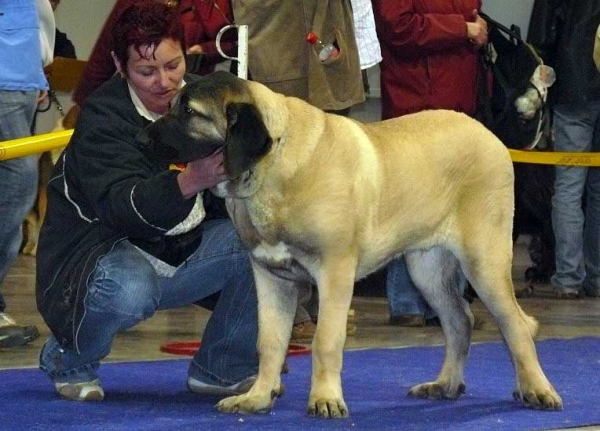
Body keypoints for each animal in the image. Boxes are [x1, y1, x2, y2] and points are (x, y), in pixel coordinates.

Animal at [142, 71, 564, 418]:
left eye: (190, 113)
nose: (141, 137)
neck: (272, 166)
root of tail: (489, 134)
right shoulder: (271, 278)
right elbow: (270, 342)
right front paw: (258, 397)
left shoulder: (334, 273)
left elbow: (326, 340)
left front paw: (325, 399)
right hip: (426, 267)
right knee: (460, 319)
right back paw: (445, 384)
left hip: (484, 260)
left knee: (515, 325)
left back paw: (537, 389)